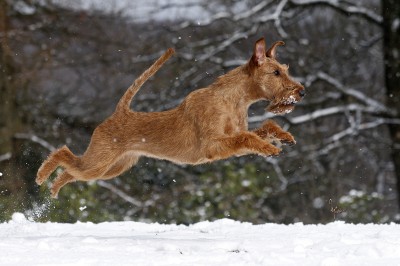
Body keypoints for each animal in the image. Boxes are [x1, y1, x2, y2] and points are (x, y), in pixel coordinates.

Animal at [36, 37, 304, 197]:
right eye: (276, 72)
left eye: (285, 70)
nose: (301, 91)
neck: (234, 99)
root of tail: (120, 112)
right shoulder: (213, 145)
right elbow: (248, 137)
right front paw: (270, 148)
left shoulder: (231, 140)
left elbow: (261, 128)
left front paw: (283, 137)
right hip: (99, 163)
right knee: (63, 154)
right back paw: (41, 177)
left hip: (113, 167)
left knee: (70, 171)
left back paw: (54, 189)